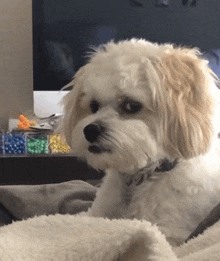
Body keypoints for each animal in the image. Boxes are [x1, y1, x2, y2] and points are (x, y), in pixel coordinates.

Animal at [59, 38, 220, 246]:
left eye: (131, 105)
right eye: (94, 106)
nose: (90, 130)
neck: (138, 179)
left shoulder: (169, 233)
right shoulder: (97, 214)